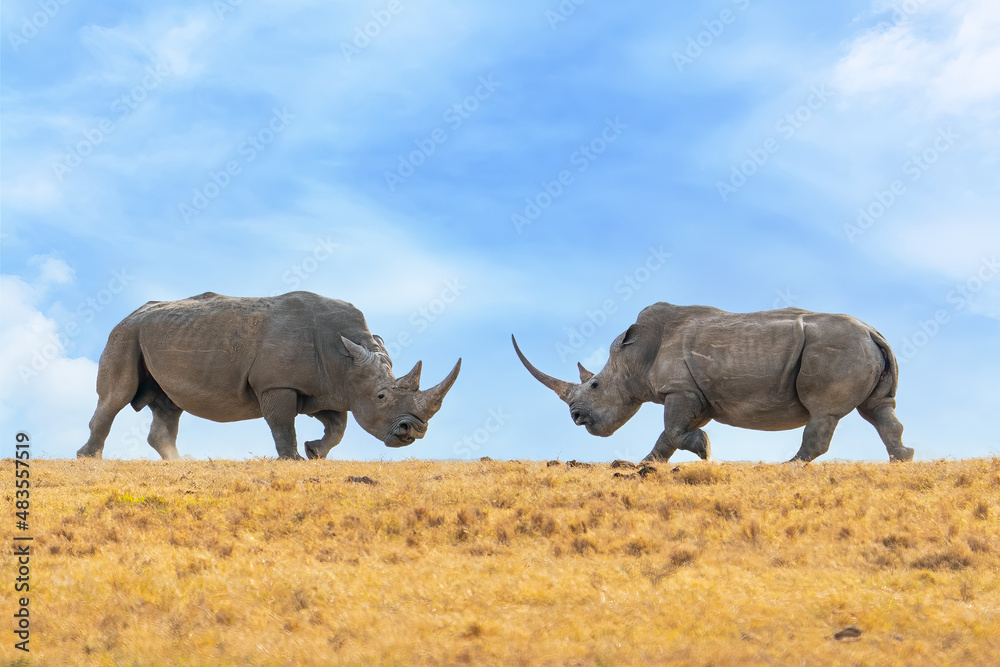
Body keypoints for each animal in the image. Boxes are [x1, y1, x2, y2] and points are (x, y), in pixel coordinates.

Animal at [77, 291, 461, 460]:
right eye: (382, 396)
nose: (414, 431)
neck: (345, 359)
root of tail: (129, 314)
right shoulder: (278, 384)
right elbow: (282, 422)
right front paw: (292, 459)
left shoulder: (326, 387)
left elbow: (338, 426)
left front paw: (314, 452)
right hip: (126, 335)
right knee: (117, 396)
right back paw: (89, 458)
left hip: (158, 335)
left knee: (170, 405)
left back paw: (178, 462)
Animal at [512, 303, 914, 463]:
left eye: (594, 386)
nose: (576, 417)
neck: (633, 359)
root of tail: (873, 332)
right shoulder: (699, 395)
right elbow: (666, 438)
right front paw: (641, 465)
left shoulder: (680, 389)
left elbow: (674, 431)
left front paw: (705, 451)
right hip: (857, 347)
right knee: (878, 410)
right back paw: (902, 459)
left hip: (835, 348)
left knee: (823, 413)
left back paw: (787, 466)